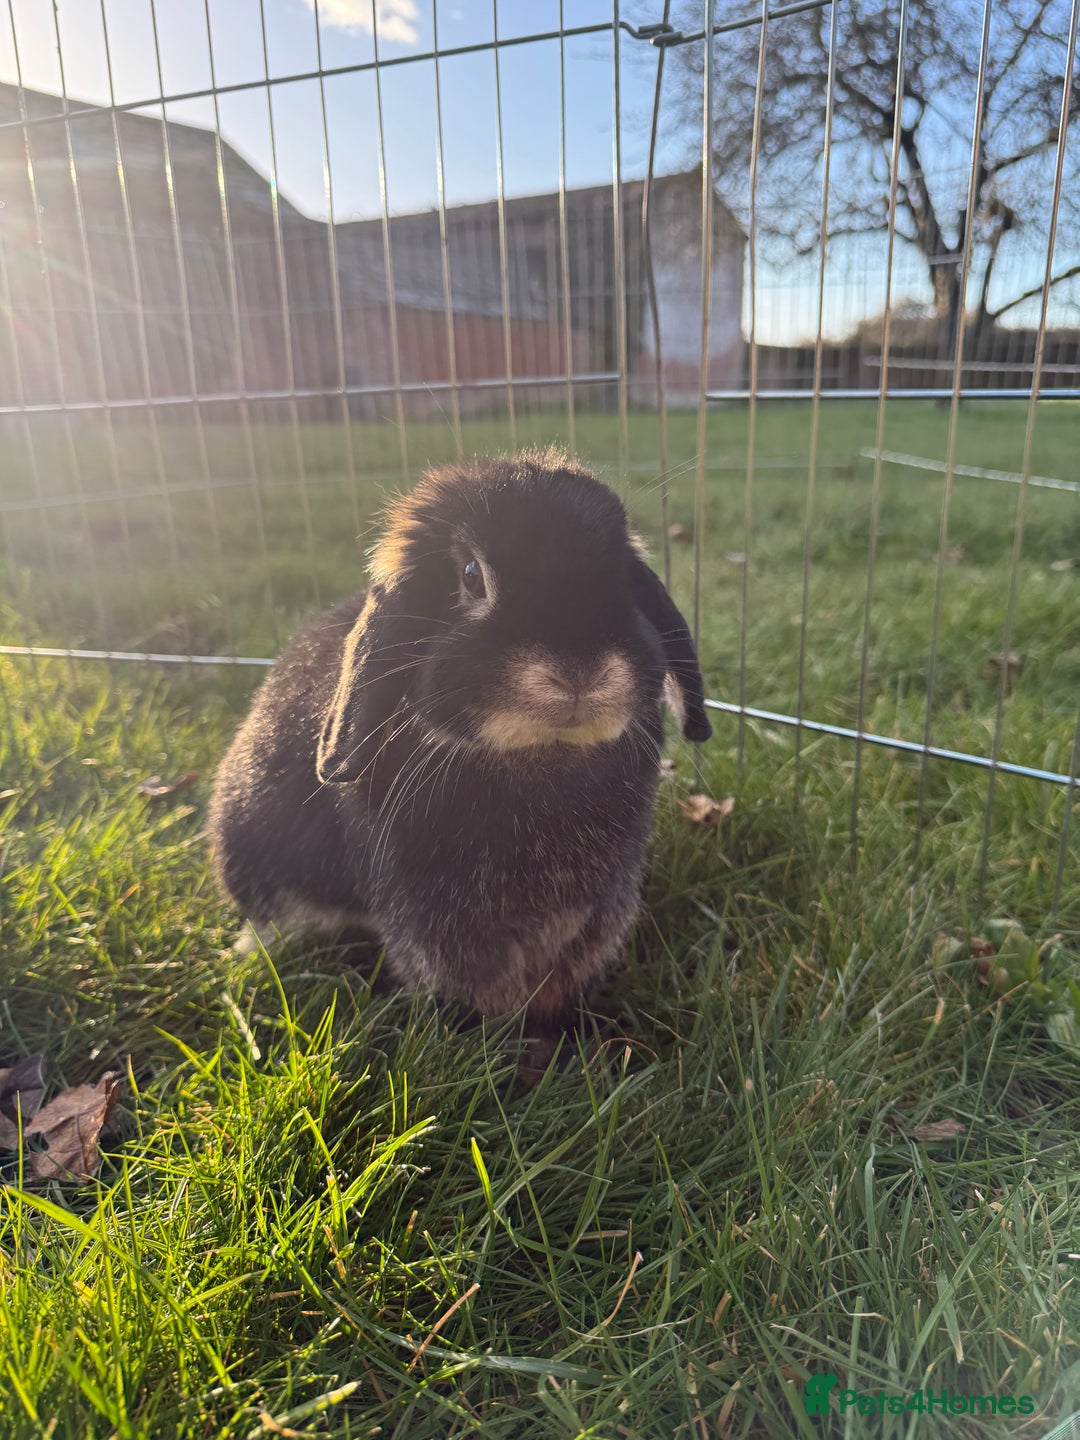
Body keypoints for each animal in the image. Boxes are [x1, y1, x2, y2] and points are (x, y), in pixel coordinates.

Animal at [208, 450, 711, 1063]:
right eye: (472, 576)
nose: (580, 671)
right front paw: (500, 1052)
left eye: (620, 571)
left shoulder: (595, 910)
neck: (540, 758)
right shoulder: (434, 918)